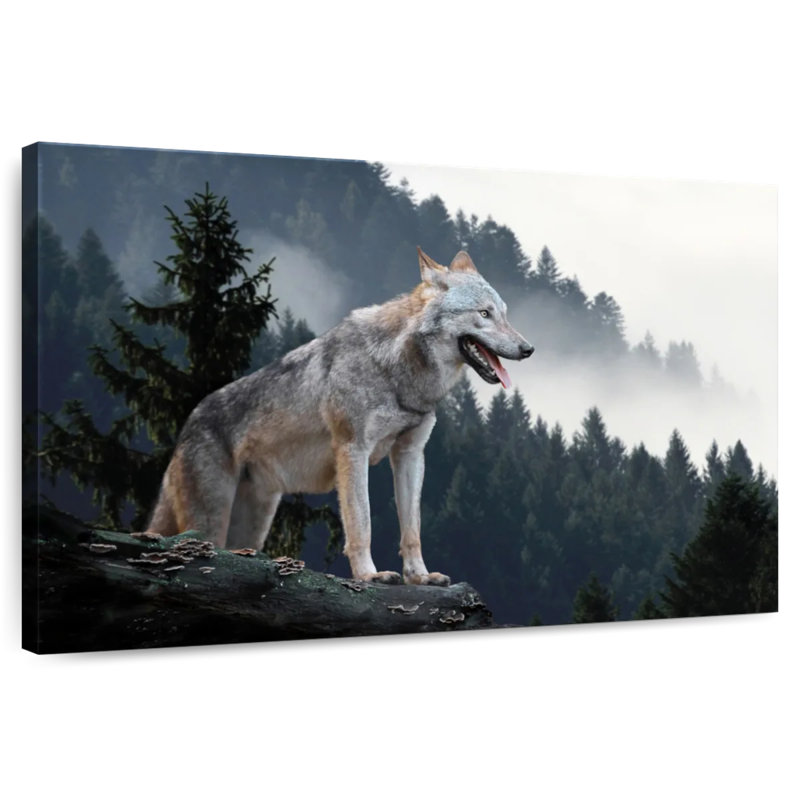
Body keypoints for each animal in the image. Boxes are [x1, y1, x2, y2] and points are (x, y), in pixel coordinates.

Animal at [146, 247, 534, 585]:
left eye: (504, 313)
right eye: (484, 314)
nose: (528, 348)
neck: (398, 371)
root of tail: (188, 424)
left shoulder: (410, 454)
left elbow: (412, 529)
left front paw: (420, 577)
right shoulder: (353, 450)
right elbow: (362, 524)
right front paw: (369, 576)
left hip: (252, 526)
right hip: (211, 522)